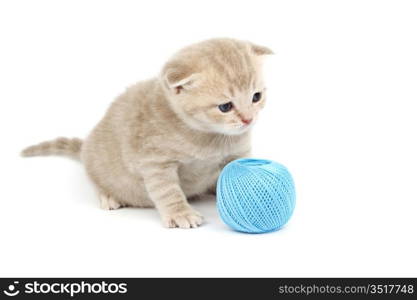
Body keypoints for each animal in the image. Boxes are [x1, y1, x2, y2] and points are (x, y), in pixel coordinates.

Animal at [21, 38, 272, 229]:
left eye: (256, 97)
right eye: (225, 106)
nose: (248, 119)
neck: (208, 136)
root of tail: (86, 147)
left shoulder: (238, 154)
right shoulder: (155, 162)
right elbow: (168, 191)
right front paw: (180, 213)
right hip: (98, 165)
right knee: (98, 180)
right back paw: (109, 195)